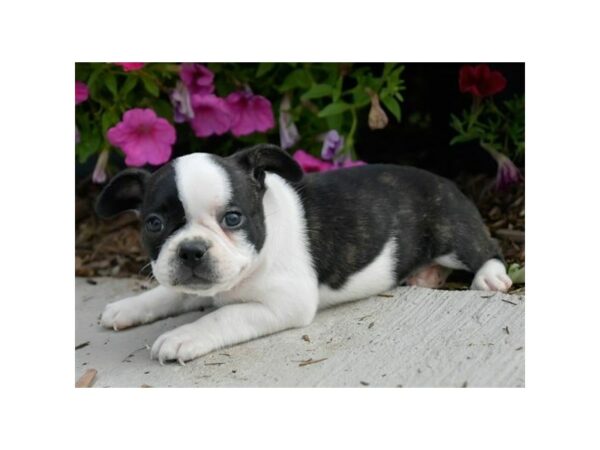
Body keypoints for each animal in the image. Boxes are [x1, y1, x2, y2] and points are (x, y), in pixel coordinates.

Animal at [95, 146, 510, 364]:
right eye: (154, 224)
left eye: (233, 218)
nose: (192, 250)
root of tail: (447, 181)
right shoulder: (195, 283)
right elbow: (169, 292)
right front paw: (128, 307)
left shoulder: (283, 302)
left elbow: (223, 316)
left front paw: (184, 335)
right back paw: (426, 275)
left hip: (451, 230)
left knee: (484, 248)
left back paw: (488, 275)